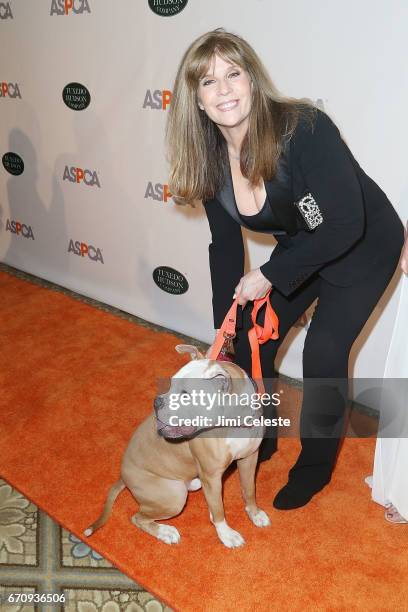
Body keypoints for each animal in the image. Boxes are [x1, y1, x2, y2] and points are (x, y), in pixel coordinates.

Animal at [84, 344, 270, 548]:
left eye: (185, 395)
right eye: (171, 384)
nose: (156, 402)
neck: (234, 425)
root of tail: (123, 477)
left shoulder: (249, 459)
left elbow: (249, 489)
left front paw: (254, 513)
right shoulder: (211, 476)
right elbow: (219, 510)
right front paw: (226, 534)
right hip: (175, 496)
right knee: (138, 517)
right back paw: (165, 532)